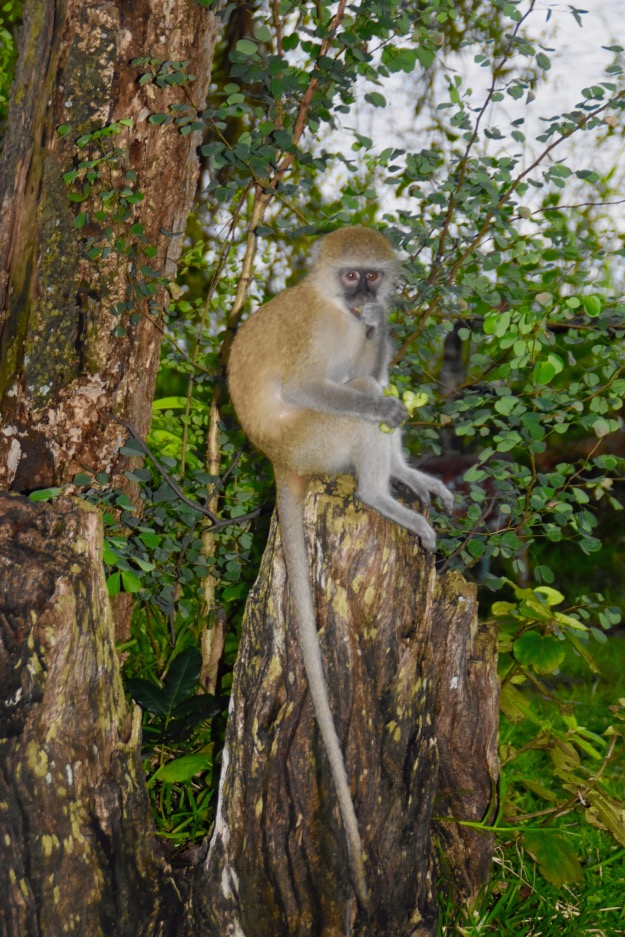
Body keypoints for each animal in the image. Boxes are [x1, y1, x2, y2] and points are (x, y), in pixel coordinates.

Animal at [227, 227, 450, 916]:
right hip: (314, 441)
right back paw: (381, 494)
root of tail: (277, 459)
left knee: (366, 389)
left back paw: (405, 479)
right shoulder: (319, 332)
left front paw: (383, 326)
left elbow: (371, 361)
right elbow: (312, 385)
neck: (333, 306)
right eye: (351, 275)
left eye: (371, 276)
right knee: (361, 405)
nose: (364, 297)